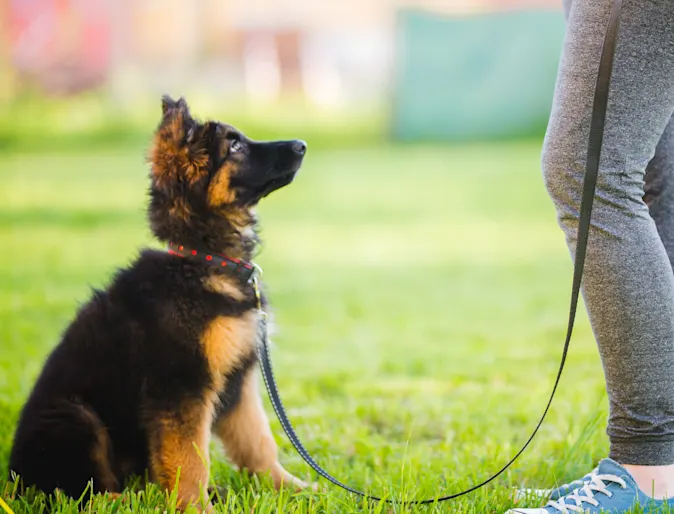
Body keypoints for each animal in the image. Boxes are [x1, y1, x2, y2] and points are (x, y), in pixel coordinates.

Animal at [9, 96, 308, 508]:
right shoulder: (181, 385)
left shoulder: (240, 379)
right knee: (79, 492)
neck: (203, 260)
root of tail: (13, 480)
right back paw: (125, 501)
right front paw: (195, 508)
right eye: (234, 146)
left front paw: (290, 487)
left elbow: (258, 441)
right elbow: (189, 460)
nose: (302, 145)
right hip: (75, 417)